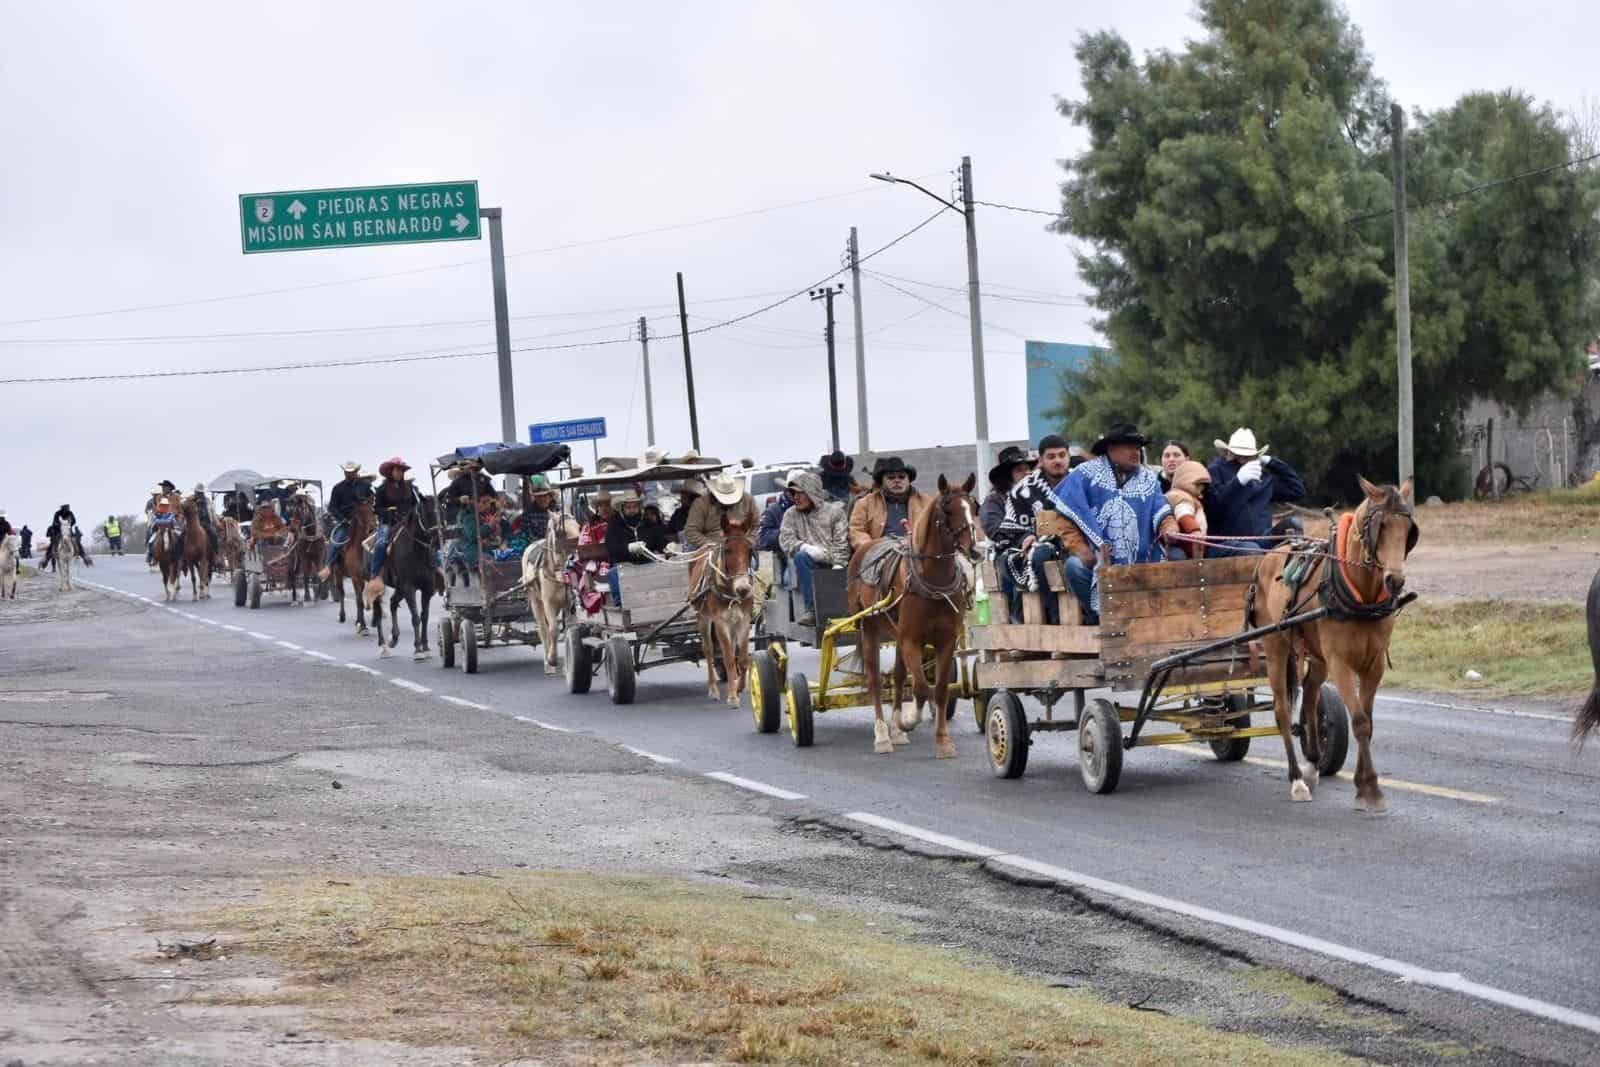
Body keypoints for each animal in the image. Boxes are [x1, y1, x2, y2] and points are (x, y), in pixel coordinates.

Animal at [521, 511, 585, 675]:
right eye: (561, 532)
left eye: (578, 527)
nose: (578, 556)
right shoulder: (548, 603)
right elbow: (553, 630)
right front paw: (552, 659)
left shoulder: (569, 603)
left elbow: (570, 628)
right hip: (536, 601)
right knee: (543, 628)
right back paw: (547, 661)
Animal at [688, 511, 755, 703]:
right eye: (727, 550)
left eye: (750, 550)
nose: (743, 589)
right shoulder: (720, 622)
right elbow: (728, 658)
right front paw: (732, 696)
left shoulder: (743, 620)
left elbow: (742, 659)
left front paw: (739, 688)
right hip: (703, 618)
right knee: (709, 650)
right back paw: (713, 688)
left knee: (731, 648)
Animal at [851, 473, 972, 758]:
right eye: (947, 510)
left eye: (973, 506)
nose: (974, 548)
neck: (933, 583)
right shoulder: (910, 640)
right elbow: (920, 688)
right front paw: (906, 722)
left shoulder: (945, 641)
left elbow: (939, 690)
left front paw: (943, 741)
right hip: (869, 628)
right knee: (875, 680)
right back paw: (883, 735)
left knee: (896, 677)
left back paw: (894, 730)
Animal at [1248, 476, 1414, 809]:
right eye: (1380, 527)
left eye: (1407, 529)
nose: (1395, 581)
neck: (1361, 597)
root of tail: (1272, 553)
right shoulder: (1341, 663)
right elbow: (1360, 721)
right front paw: (1370, 788)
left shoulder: (1374, 664)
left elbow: (1367, 722)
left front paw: (1363, 782)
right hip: (1276, 646)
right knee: (1282, 709)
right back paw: (1297, 779)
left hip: (1315, 652)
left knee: (1311, 694)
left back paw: (1313, 763)